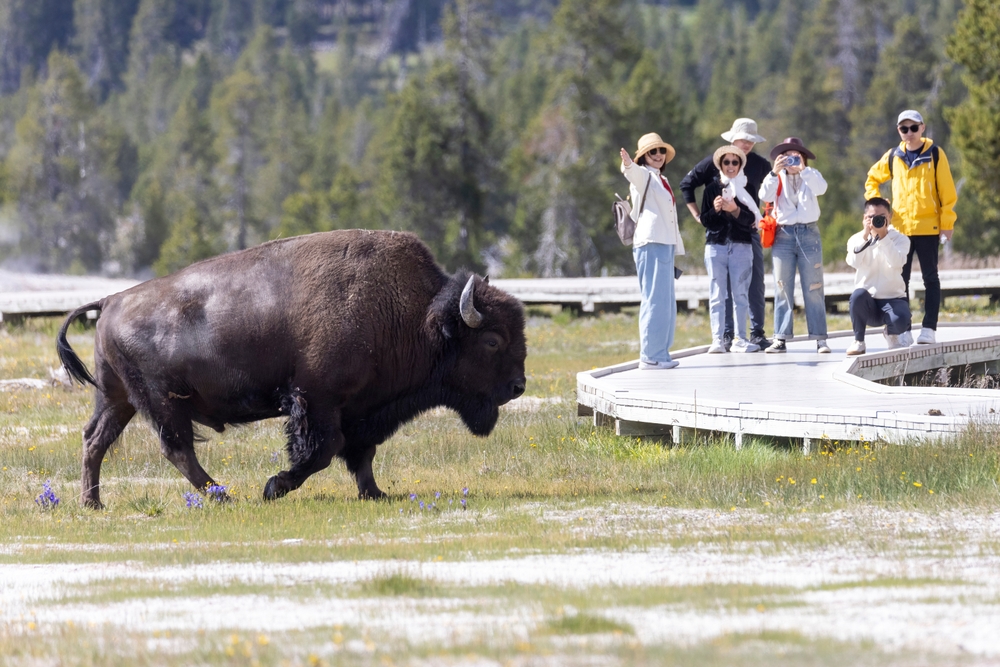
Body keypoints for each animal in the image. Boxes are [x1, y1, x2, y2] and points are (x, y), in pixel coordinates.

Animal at [55, 230, 528, 506]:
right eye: (492, 340)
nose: (518, 385)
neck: (416, 315)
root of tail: (111, 300)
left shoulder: (362, 409)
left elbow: (362, 452)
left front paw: (375, 493)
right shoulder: (317, 400)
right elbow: (322, 450)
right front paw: (274, 487)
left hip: (117, 397)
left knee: (95, 440)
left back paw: (93, 503)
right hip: (161, 400)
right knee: (176, 447)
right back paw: (223, 496)